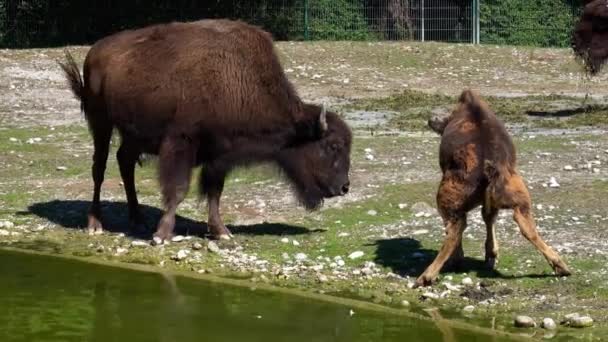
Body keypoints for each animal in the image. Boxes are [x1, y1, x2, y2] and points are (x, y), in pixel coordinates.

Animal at [59, 19, 354, 243]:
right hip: (101, 122)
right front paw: (162, 235)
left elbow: (215, 192)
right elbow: (178, 189)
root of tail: (95, 51)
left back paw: (137, 219)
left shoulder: (220, 155)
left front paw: (221, 232)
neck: (239, 81)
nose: (344, 187)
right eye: (332, 146)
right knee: (99, 168)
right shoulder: (180, 144)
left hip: (133, 134)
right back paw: (95, 223)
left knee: (125, 162)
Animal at [414, 89, 568, 288]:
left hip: (447, 200)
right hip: (519, 196)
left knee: (455, 229)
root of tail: (491, 168)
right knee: (527, 226)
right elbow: (489, 217)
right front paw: (491, 256)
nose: (430, 120)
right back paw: (561, 266)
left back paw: (428, 275)